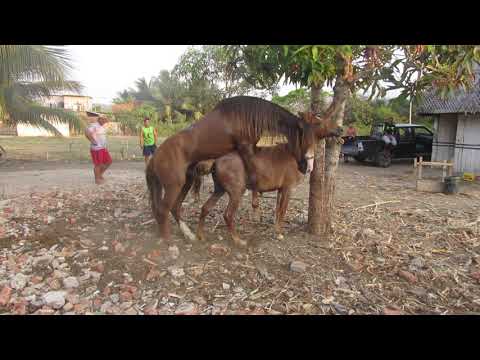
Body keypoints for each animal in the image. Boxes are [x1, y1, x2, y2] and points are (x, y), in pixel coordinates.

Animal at [146, 95, 342, 242]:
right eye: (319, 121)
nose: (340, 129)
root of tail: (155, 157)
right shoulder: (252, 153)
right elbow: (278, 205)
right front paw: (275, 229)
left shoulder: (277, 184)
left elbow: (277, 209)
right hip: (178, 185)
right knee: (166, 210)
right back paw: (171, 243)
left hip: (188, 182)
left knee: (178, 208)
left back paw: (192, 235)